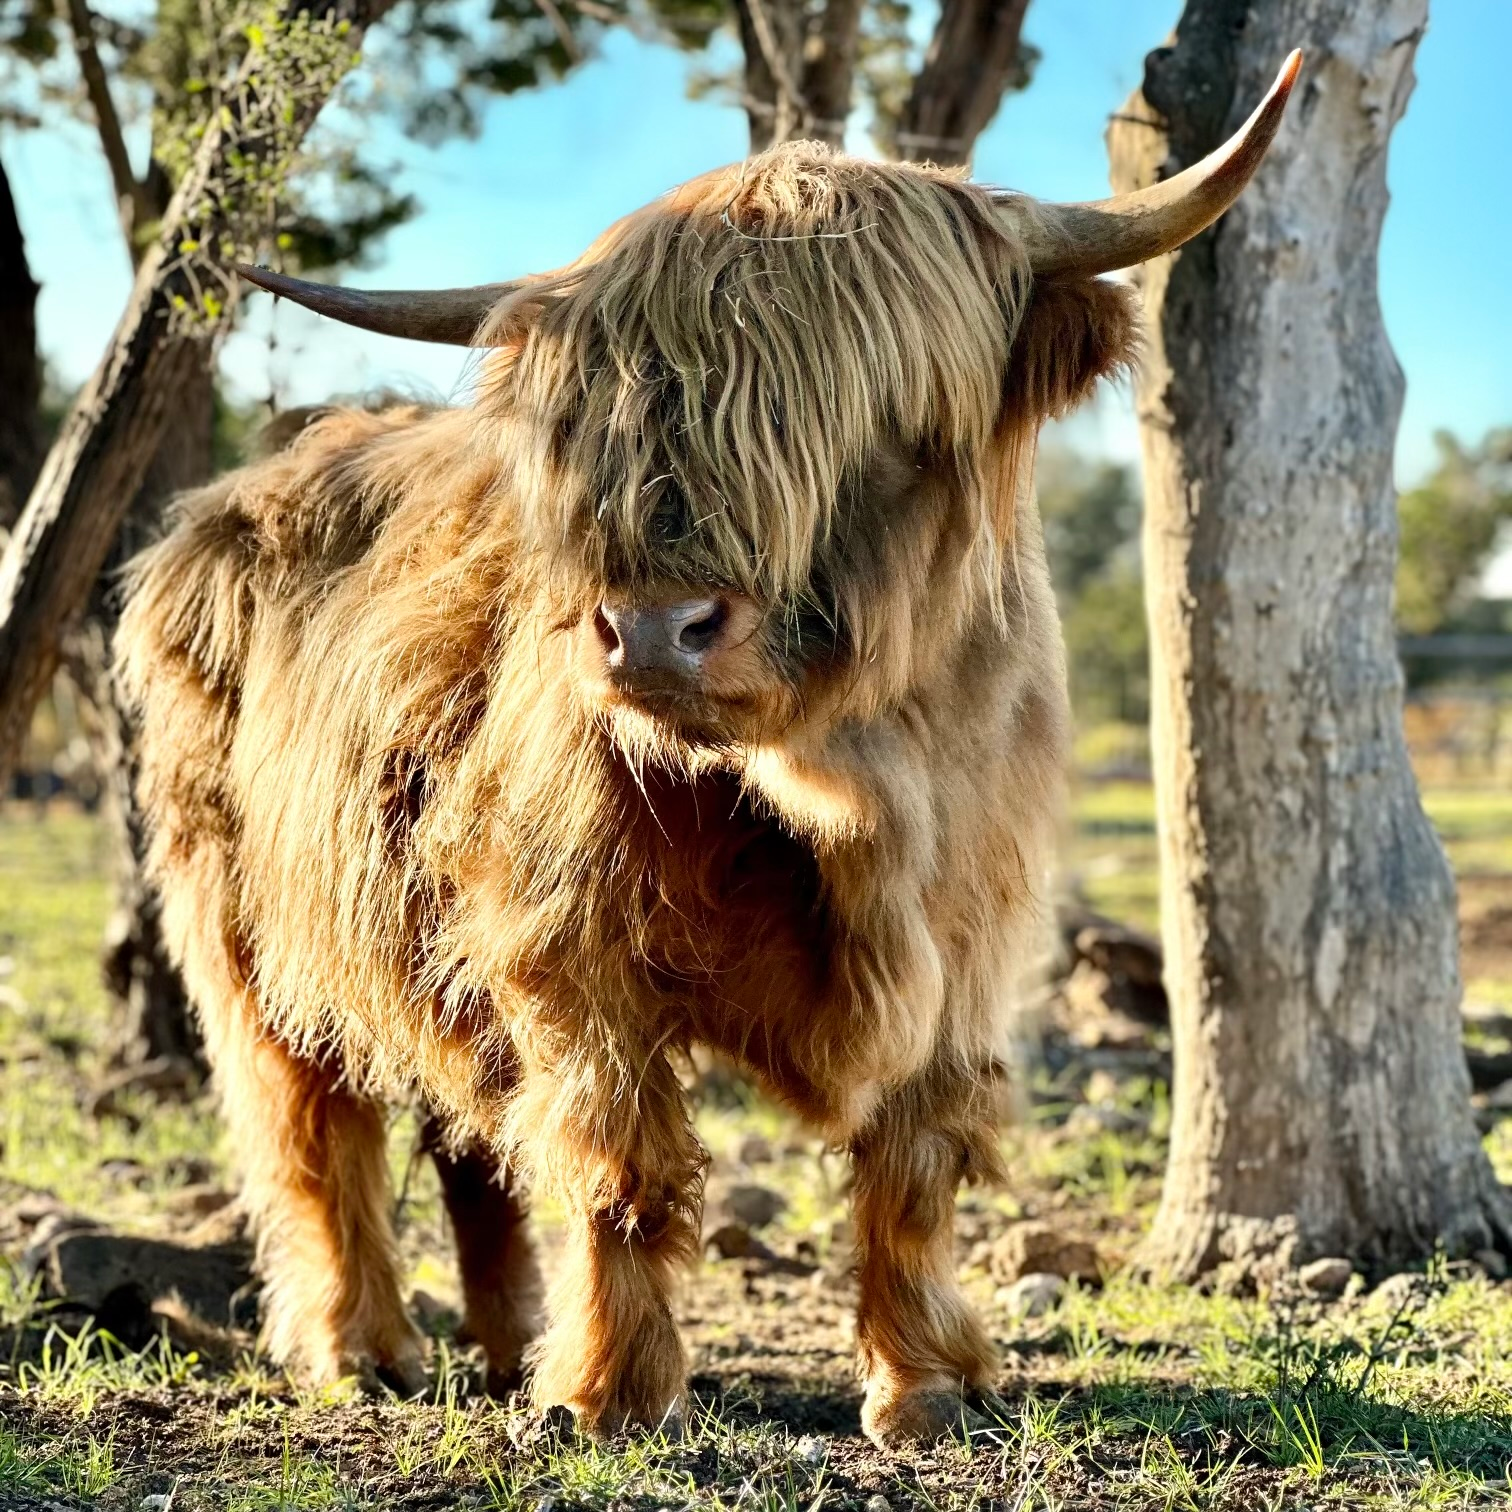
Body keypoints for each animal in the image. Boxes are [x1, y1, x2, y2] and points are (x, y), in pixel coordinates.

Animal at [115, 54, 1299, 1445]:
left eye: (883, 415)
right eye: (613, 425)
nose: (652, 630)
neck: (855, 792)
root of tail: (223, 503)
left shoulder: (969, 940)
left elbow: (915, 1165)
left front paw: (927, 1385)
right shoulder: (566, 941)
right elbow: (619, 1164)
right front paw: (611, 1396)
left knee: (470, 1136)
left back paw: (507, 1343)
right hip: (241, 919)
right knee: (312, 1125)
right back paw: (366, 1349)